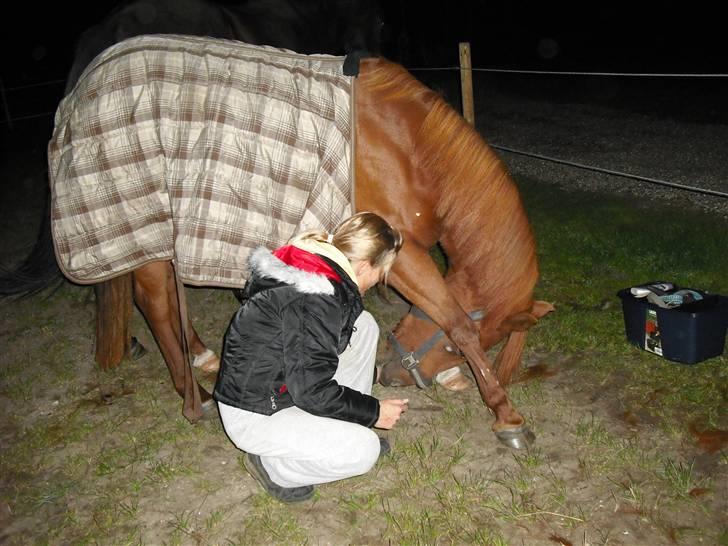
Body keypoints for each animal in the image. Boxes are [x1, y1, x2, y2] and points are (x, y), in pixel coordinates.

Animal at [41, 36, 552, 448]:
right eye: (455, 350)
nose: (389, 374)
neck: (408, 150)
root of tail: (79, 91)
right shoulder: (400, 254)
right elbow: (456, 319)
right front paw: (506, 415)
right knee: (158, 304)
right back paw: (196, 398)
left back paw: (202, 357)